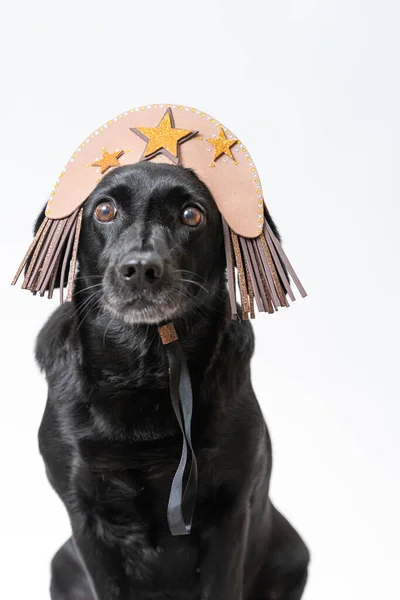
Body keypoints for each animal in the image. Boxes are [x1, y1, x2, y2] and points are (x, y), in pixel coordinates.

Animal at [34, 162, 310, 596]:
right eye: (105, 210)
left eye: (191, 215)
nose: (140, 270)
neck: (144, 368)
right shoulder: (86, 519)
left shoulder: (230, 512)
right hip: (62, 562)